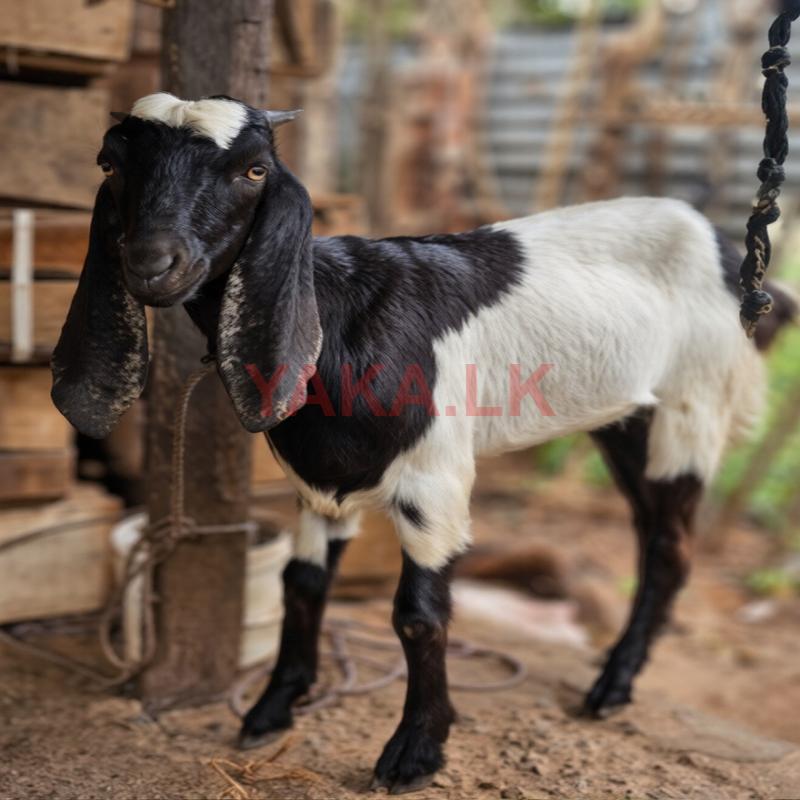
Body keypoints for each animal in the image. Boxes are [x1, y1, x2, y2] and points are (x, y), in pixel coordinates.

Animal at [51, 93, 795, 794]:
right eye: (111, 165)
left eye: (253, 170)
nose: (152, 262)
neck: (339, 319)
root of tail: (738, 261)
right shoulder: (321, 483)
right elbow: (302, 584)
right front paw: (270, 711)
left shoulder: (434, 481)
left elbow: (418, 616)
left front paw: (414, 752)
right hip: (627, 420)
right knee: (649, 534)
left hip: (690, 407)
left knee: (670, 548)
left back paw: (612, 686)